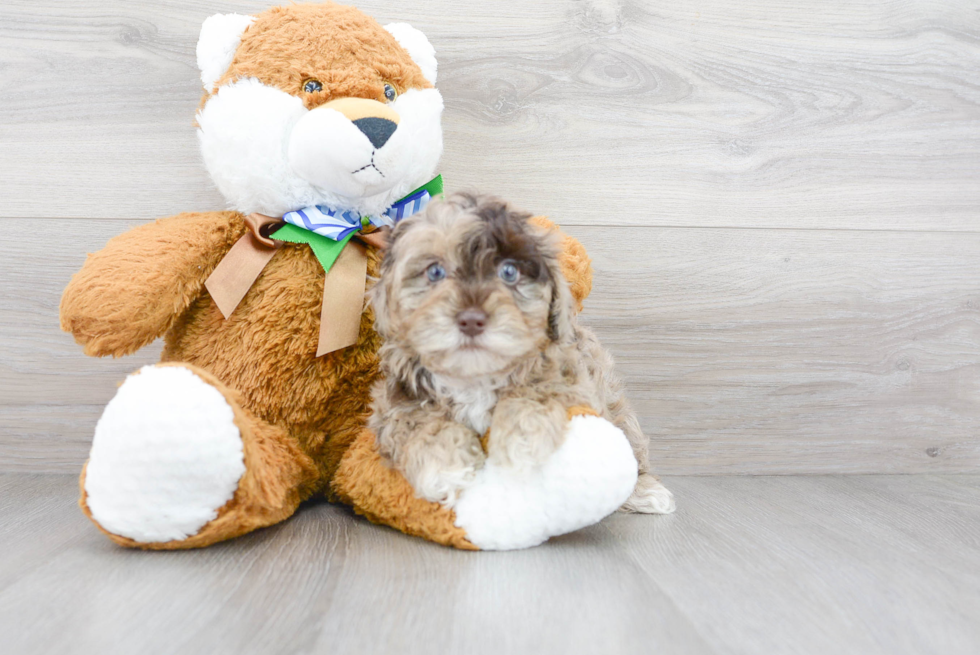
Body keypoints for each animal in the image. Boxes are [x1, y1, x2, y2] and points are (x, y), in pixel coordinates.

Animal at [368, 192, 672, 516]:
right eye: (435, 272)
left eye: (509, 272)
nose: (471, 320)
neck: (475, 375)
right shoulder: (395, 402)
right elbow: (420, 422)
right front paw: (446, 468)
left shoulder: (573, 380)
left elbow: (538, 393)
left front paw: (524, 441)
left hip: (614, 403)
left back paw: (647, 492)